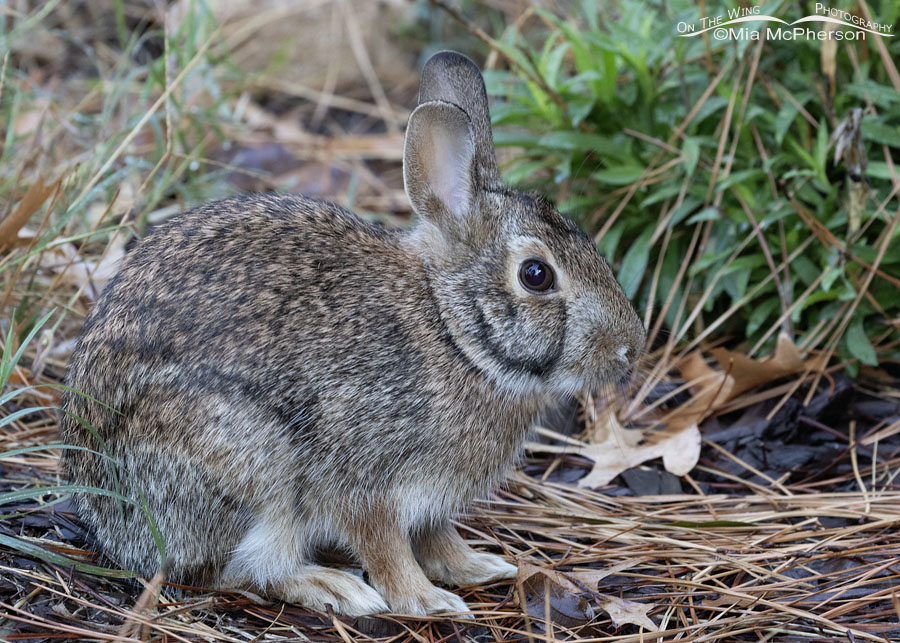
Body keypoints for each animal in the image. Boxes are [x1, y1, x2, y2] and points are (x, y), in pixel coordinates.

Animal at [58, 51, 648, 620]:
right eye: (536, 275)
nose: (630, 350)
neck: (453, 333)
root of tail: (106, 523)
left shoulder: (430, 500)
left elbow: (436, 536)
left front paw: (477, 568)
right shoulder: (364, 477)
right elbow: (385, 546)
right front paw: (426, 601)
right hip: (243, 465)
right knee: (229, 570)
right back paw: (333, 588)